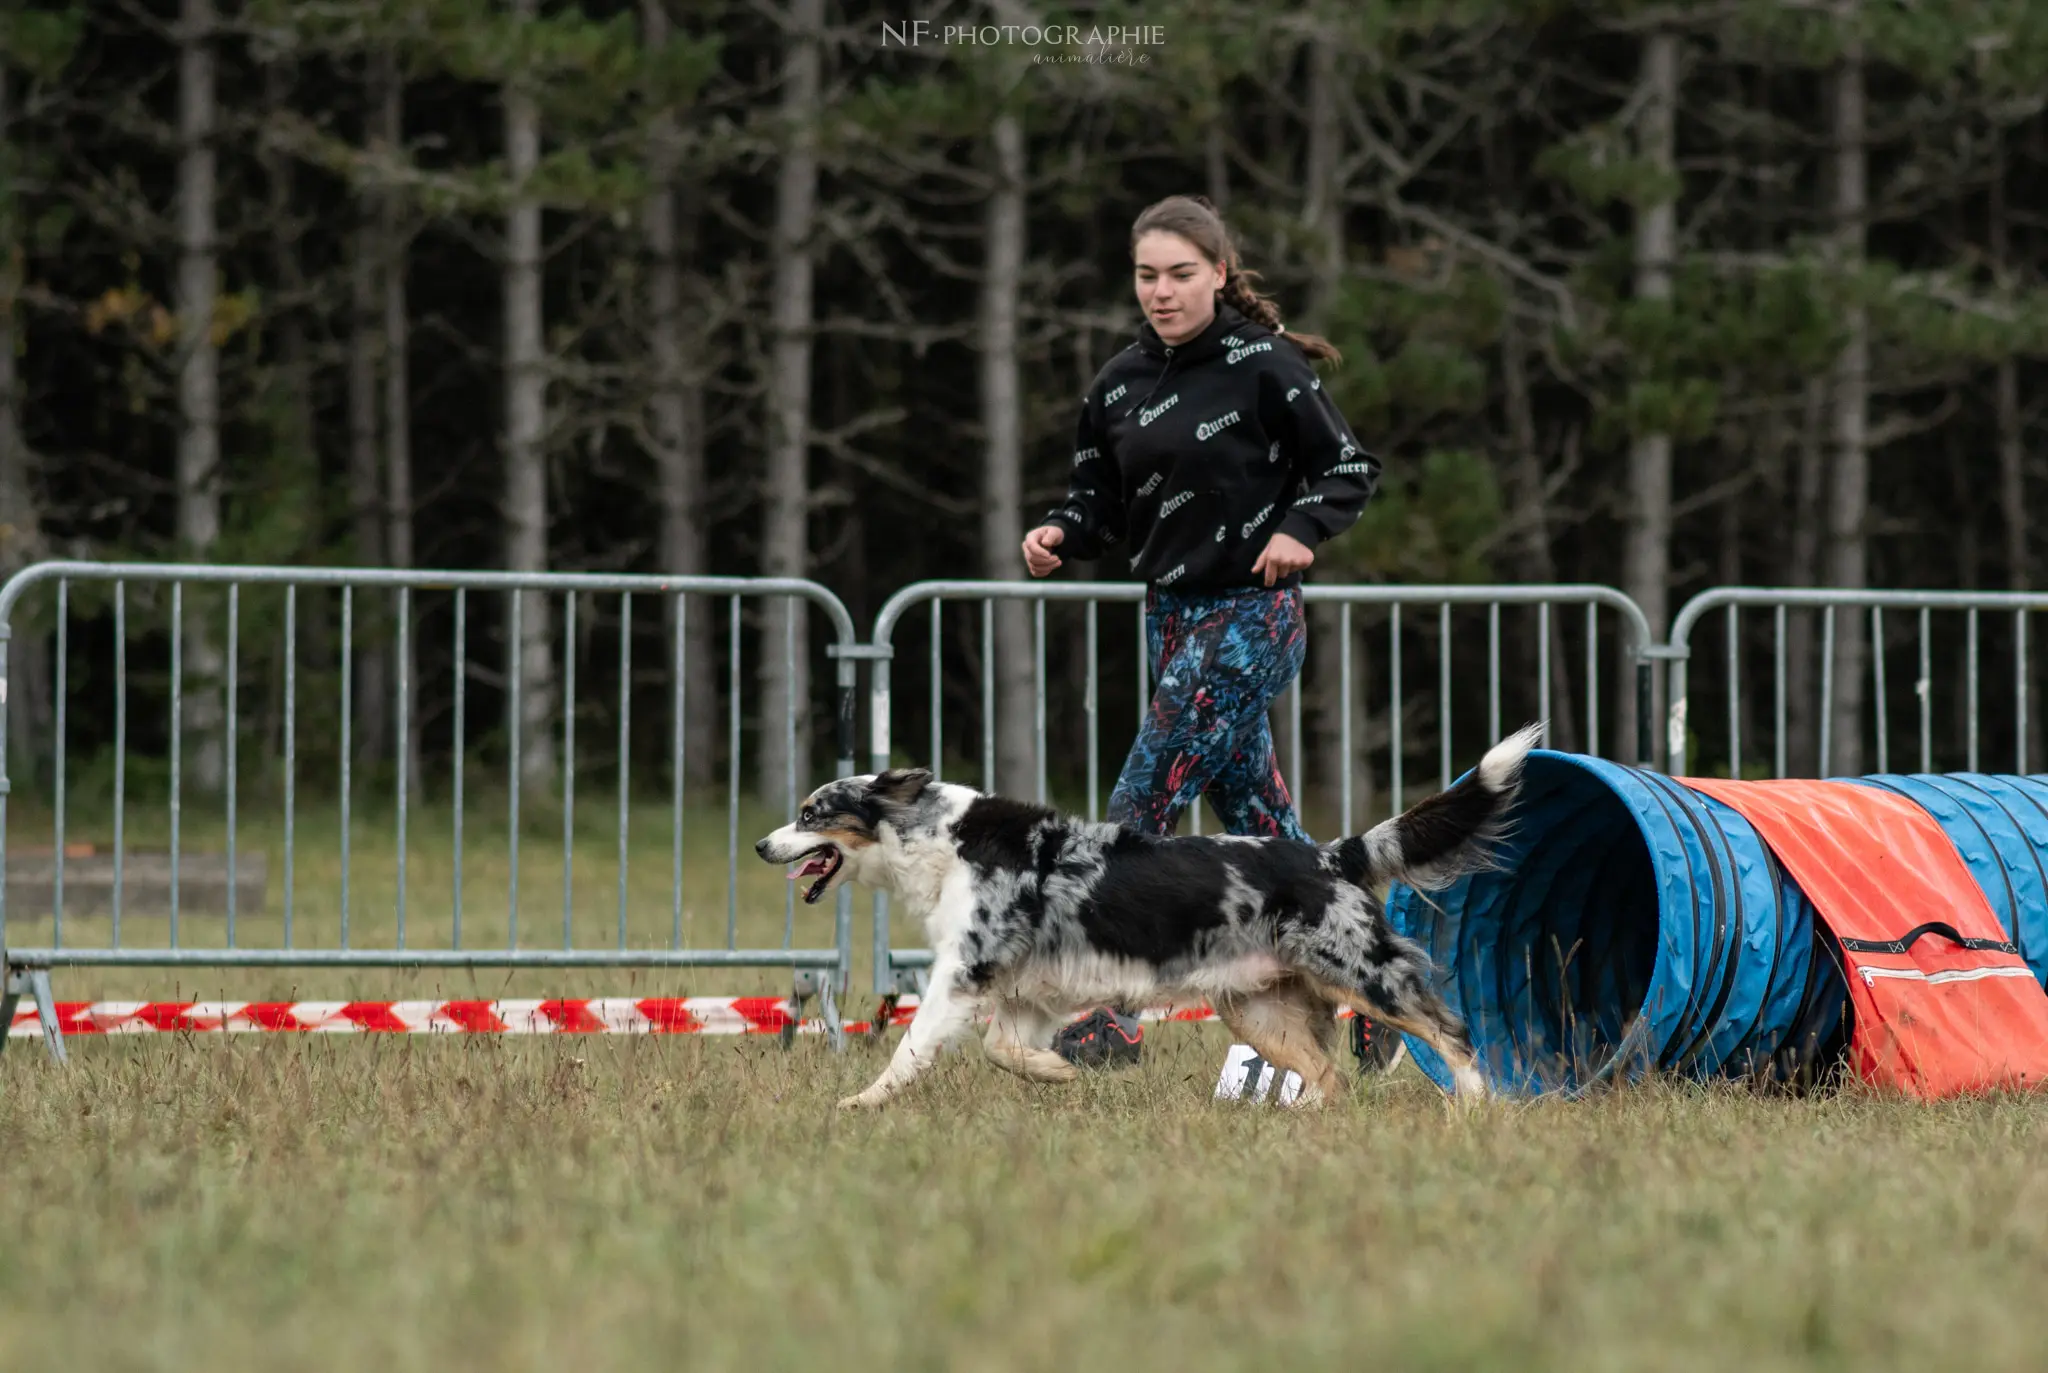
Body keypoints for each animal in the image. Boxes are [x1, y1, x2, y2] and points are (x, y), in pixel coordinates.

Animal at [757, 725, 1540, 1114]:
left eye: (810, 813)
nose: (764, 845)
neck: (941, 842)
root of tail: (1330, 853)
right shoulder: (1022, 992)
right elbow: (1003, 1050)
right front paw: (1055, 1073)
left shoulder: (963, 973)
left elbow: (910, 1050)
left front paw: (859, 1102)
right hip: (1257, 1011)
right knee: (1328, 1075)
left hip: (1362, 974)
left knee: (1450, 1029)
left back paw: (1476, 1105)